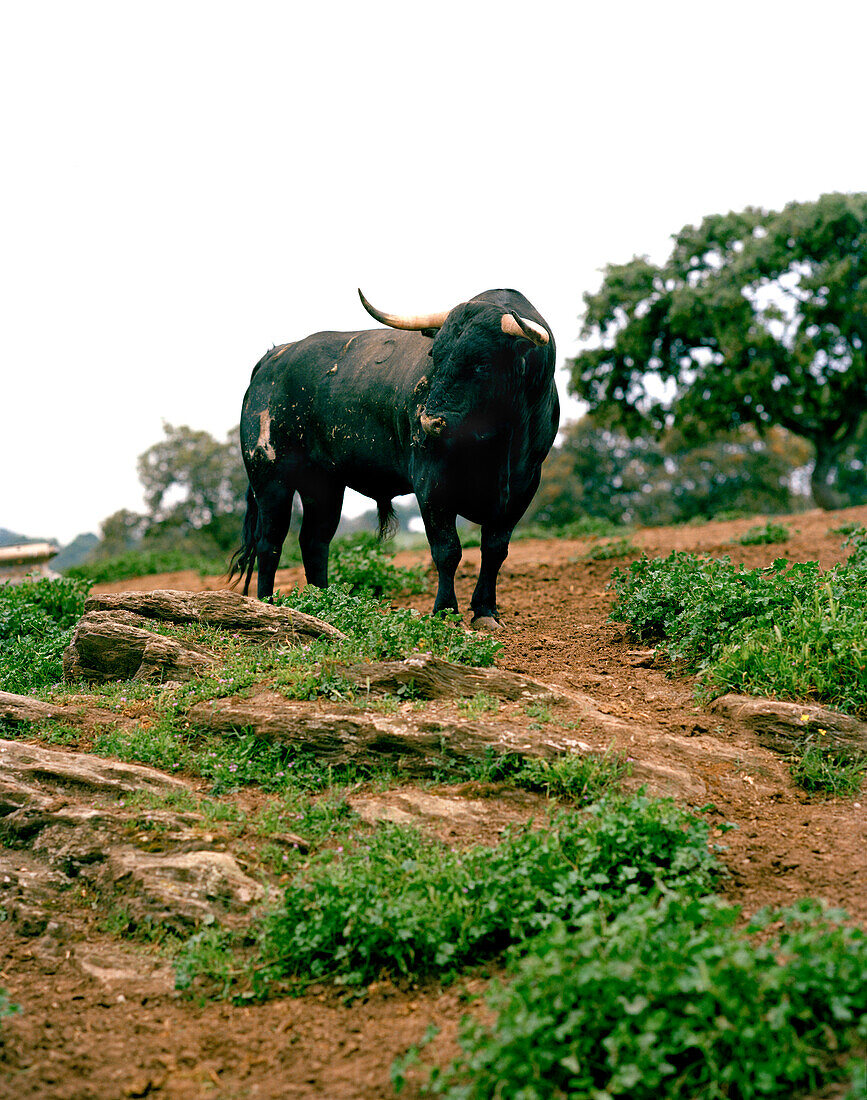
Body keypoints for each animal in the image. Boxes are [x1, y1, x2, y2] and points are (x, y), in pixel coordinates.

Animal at [226, 286, 558, 629]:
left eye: (482, 363)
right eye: (435, 356)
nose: (429, 421)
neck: (498, 445)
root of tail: (275, 355)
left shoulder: (522, 488)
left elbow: (494, 550)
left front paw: (485, 611)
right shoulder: (431, 484)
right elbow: (447, 549)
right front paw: (445, 611)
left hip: (323, 484)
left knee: (314, 541)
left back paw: (322, 603)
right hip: (270, 477)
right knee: (270, 542)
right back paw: (269, 605)